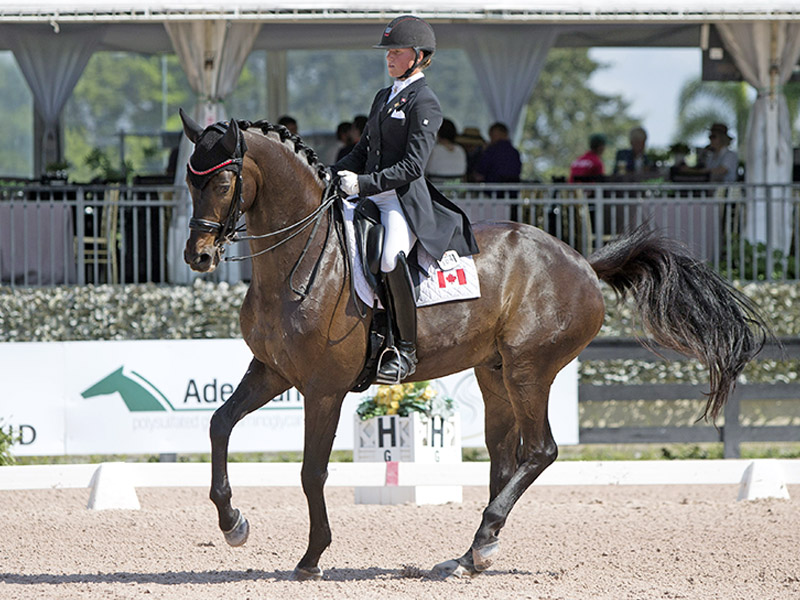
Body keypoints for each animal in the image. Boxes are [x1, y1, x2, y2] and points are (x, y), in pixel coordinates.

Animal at [178, 110, 768, 581]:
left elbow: (311, 471)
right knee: (505, 459)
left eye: (224, 181)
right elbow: (218, 425)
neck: (302, 259)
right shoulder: (272, 371)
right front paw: (233, 523)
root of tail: (580, 259)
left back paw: (481, 543)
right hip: (494, 372)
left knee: (540, 451)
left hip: (530, 369)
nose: (198, 257)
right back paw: (472, 554)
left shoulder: (324, 389)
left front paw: (311, 557)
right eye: (188, 180)